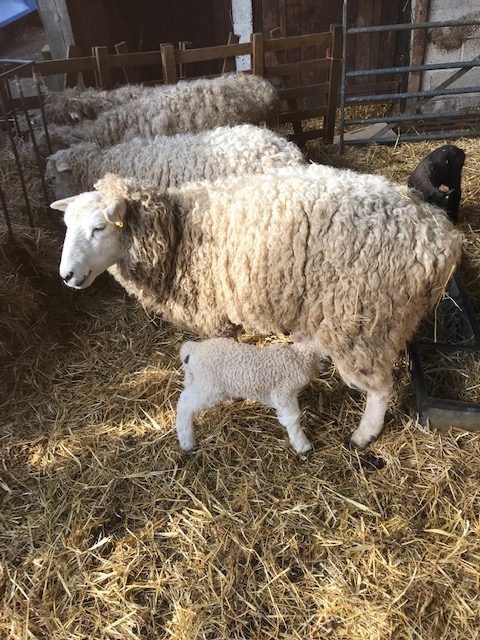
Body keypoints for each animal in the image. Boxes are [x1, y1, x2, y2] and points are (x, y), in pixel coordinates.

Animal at [176, 333, 325, 453]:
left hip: (197, 380)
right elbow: (293, 418)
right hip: (208, 386)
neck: (299, 357)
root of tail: (193, 349)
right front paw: (302, 444)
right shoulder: (283, 393)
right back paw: (187, 442)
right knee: (184, 404)